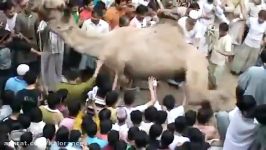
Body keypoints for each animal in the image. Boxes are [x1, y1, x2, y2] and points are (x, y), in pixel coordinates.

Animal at [30, 0, 211, 103]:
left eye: (49, 5)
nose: (30, 6)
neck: (104, 43)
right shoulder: (124, 71)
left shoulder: (117, 67)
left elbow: (114, 88)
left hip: (196, 72)